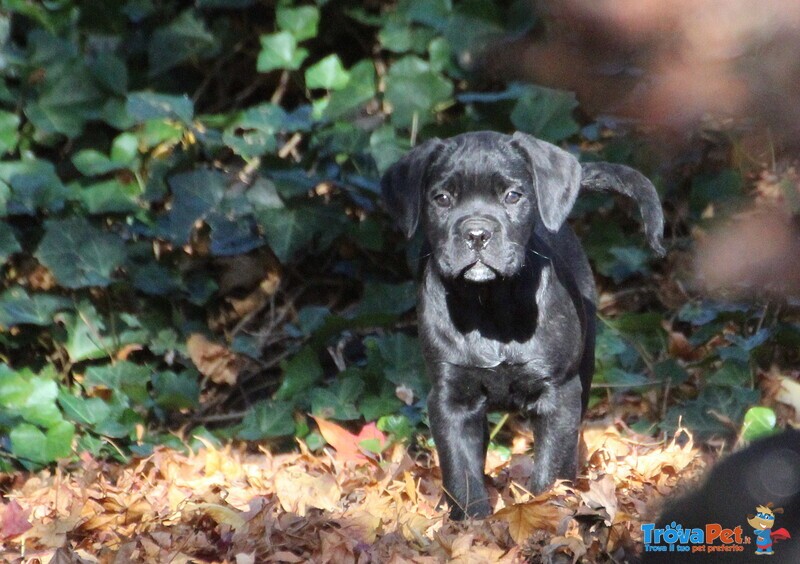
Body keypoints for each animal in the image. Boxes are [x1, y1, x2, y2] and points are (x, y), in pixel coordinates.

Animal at [382, 132, 664, 520]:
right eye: (442, 199)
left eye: (513, 195)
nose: (477, 233)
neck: (489, 303)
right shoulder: (450, 398)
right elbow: (461, 471)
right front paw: (471, 524)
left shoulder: (559, 392)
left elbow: (551, 466)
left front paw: (545, 511)